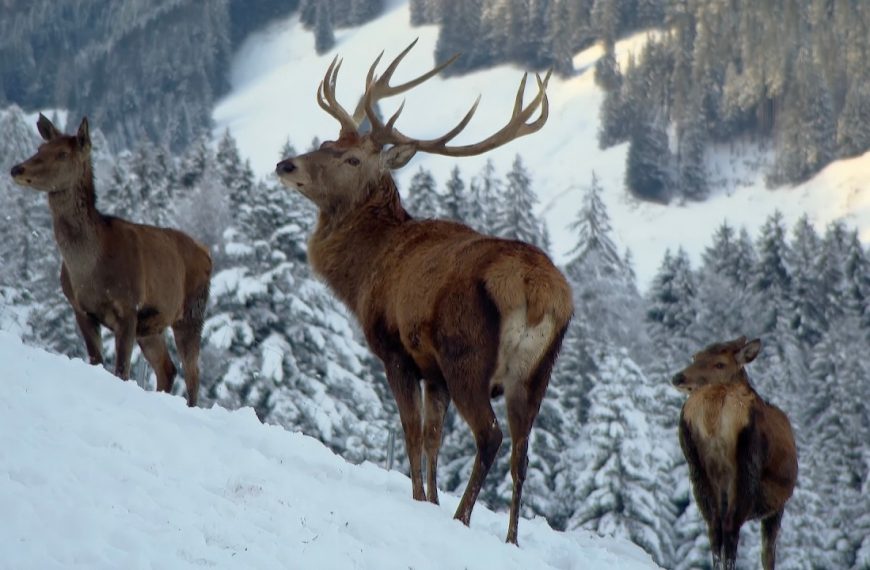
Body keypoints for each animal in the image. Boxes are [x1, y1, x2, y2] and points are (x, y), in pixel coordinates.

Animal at [11, 114, 211, 404]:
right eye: (40, 148)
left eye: (62, 154)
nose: (17, 169)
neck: (89, 270)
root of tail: (207, 253)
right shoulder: (80, 308)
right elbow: (96, 360)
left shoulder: (128, 307)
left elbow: (121, 370)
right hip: (152, 326)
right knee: (168, 368)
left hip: (192, 311)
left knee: (193, 372)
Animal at [276, 41, 576, 540]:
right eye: (327, 144)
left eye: (352, 159)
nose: (285, 164)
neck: (363, 274)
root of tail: (538, 292)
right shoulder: (433, 373)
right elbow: (434, 438)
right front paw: (432, 500)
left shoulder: (397, 351)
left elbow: (412, 431)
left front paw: (420, 500)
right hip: (535, 375)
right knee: (522, 453)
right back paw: (511, 539)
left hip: (467, 355)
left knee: (490, 435)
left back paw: (463, 518)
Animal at [672, 338, 800, 568]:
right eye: (695, 357)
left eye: (720, 364)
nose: (678, 377)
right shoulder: (778, 506)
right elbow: (768, 555)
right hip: (747, 466)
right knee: (733, 528)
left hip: (696, 467)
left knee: (714, 525)